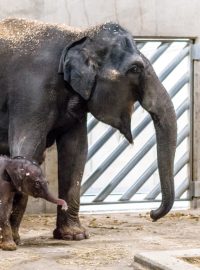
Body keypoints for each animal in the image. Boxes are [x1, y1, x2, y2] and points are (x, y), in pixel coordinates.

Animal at [0, 19, 177, 243]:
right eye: (135, 68)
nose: (152, 214)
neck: (77, 36)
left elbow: (76, 151)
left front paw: (74, 236)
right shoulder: (31, 92)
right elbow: (27, 148)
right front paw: (13, 239)